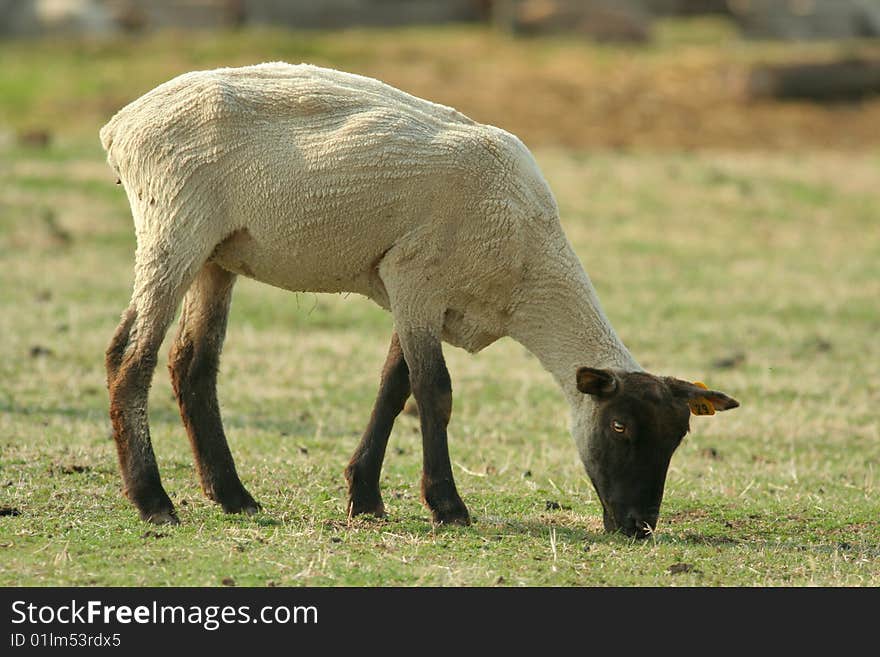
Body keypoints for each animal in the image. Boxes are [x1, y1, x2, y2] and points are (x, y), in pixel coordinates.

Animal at [99, 61, 740, 536]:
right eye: (620, 427)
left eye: (679, 437)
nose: (638, 526)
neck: (529, 272)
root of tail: (122, 124)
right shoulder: (416, 276)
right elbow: (434, 392)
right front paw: (447, 506)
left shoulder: (419, 296)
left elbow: (393, 386)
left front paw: (365, 497)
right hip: (173, 226)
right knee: (130, 355)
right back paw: (154, 501)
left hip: (217, 255)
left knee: (192, 365)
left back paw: (233, 496)